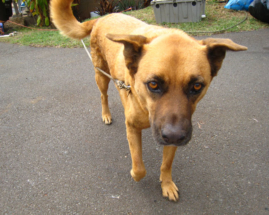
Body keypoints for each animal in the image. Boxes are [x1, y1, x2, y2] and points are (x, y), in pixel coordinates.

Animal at [50, 0, 247, 202]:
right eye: (153, 84)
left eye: (197, 86)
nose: (174, 136)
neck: (145, 106)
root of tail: (102, 17)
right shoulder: (132, 128)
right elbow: (139, 167)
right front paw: (135, 174)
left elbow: (166, 164)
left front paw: (166, 183)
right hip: (101, 75)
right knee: (103, 96)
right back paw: (106, 114)